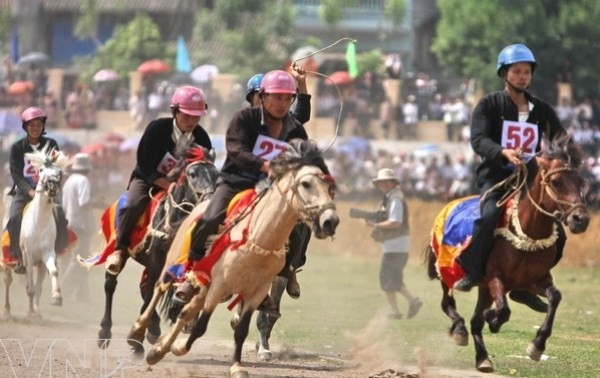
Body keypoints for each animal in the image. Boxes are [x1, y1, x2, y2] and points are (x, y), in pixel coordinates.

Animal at [20, 147, 70, 316]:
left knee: (39, 287)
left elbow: (54, 272)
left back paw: (36, 310)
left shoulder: (47, 253)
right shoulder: (28, 255)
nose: (52, 184)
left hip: (41, 264)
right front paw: (29, 312)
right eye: (41, 170)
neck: (39, 224)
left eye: (59, 172)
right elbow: (29, 285)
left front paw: (57, 297)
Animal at [78, 145, 217, 348]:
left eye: (217, 174)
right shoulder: (157, 259)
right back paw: (106, 331)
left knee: (144, 287)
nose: (210, 200)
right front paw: (138, 335)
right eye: (192, 174)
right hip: (123, 251)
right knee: (111, 283)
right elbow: (152, 290)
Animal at [426, 136, 592, 372]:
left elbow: (555, 297)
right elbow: (503, 310)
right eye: (556, 182)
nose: (581, 219)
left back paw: (483, 358)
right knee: (448, 304)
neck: (527, 232)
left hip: (484, 288)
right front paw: (494, 319)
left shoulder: (537, 280)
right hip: (448, 272)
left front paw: (537, 345)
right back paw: (460, 329)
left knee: (476, 320)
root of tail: (450, 204)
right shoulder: (495, 277)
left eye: (580, 182)